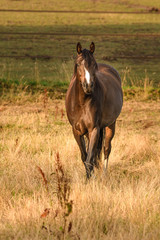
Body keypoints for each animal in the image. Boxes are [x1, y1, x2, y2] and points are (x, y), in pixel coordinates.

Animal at [65, 42, 123, 178]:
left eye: (94, 64)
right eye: (78, 64)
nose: (88, 86)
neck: (81, 102)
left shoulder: (94, 129)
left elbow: (90, 158)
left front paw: (90, 180)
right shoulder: (76, 131)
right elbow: (84, 156)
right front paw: (90, 177)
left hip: (111, 125)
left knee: (106, 149)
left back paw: (104, 176)